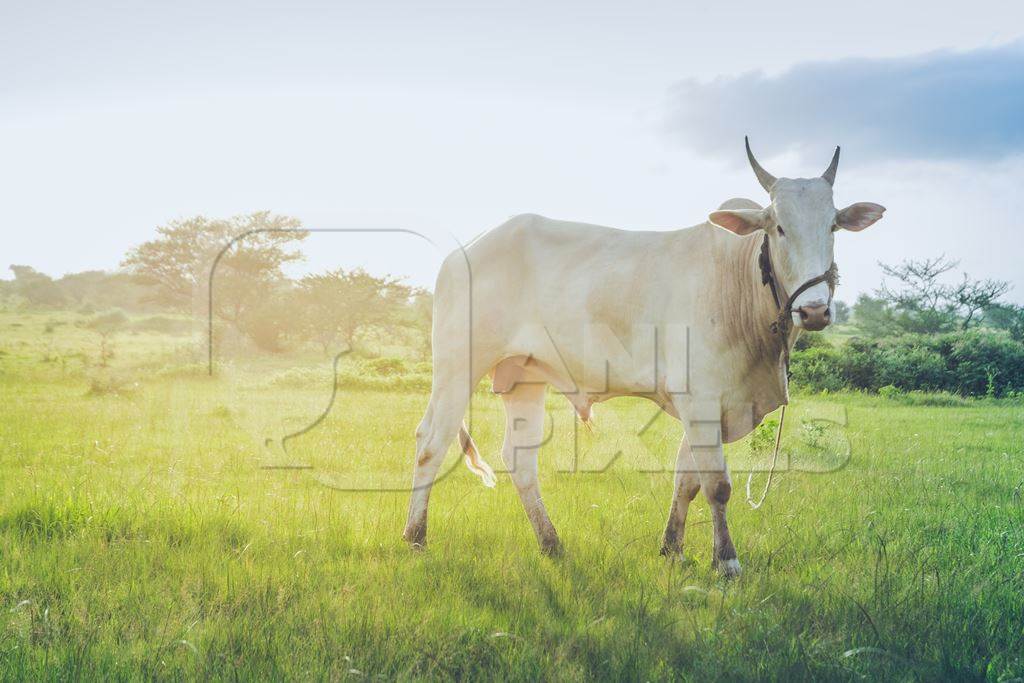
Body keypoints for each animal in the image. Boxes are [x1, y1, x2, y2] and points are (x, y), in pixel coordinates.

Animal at [403, 140, 884, 577]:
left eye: (833, 227)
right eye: (779, 226)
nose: (815, 310)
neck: (740, 278)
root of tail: (465, 248)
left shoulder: (707, 406)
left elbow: (686, 479)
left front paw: (672, 548)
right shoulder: (701, 399)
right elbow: (717, 485)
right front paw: (726, 561)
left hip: (524, 376)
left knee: (520, 458)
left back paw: (551, 543)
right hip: (458, 364)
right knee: (432, 441)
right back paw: (416, 537)